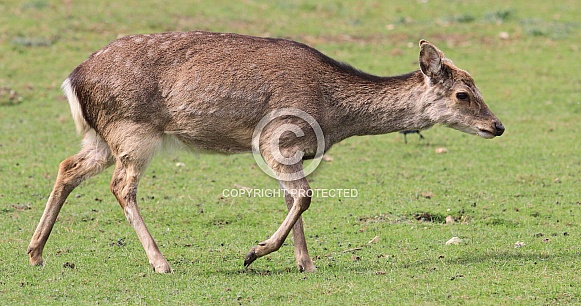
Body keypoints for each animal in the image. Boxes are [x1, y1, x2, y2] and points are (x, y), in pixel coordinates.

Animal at [27, 31, 500, 272]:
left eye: (477, 87)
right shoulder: (276, 139)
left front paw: (306, 264)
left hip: (102, 138)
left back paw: (35, 253)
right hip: (133, 132)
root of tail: (73, 80)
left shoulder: (293, 153)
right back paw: (161, 262)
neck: (332, 115)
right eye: (462, 94)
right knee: (121, 186)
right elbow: (304, 197)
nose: (497, 125)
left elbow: (293, 198)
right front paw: (253, 253)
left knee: (68, 166)